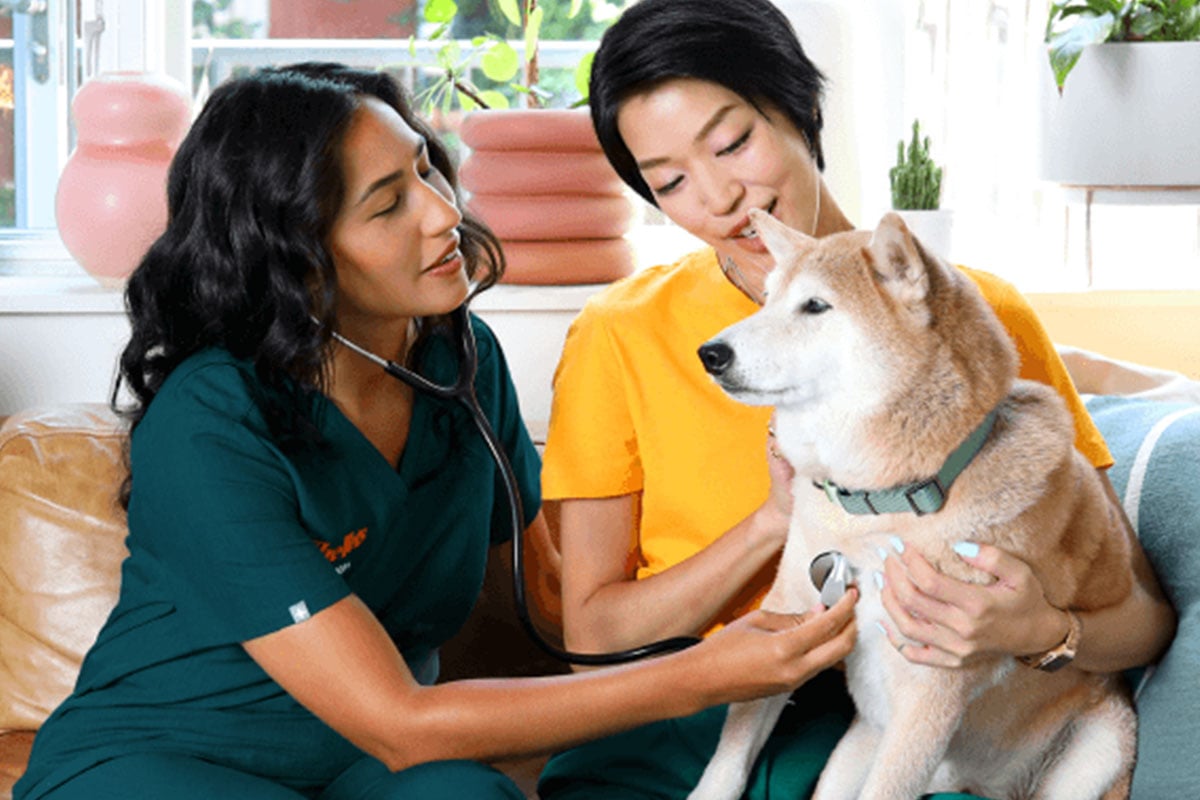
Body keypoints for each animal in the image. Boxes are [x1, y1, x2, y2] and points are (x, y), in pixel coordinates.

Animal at [691, 211, 1137, 800]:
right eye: (766, 299)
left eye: (815, 306)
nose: (710, 354)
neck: (874, 508)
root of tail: (980, 785)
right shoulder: (785, 619)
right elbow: (730, 755)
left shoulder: (930, 694)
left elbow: (888, 785)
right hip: (857, 746)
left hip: (1099, 747)